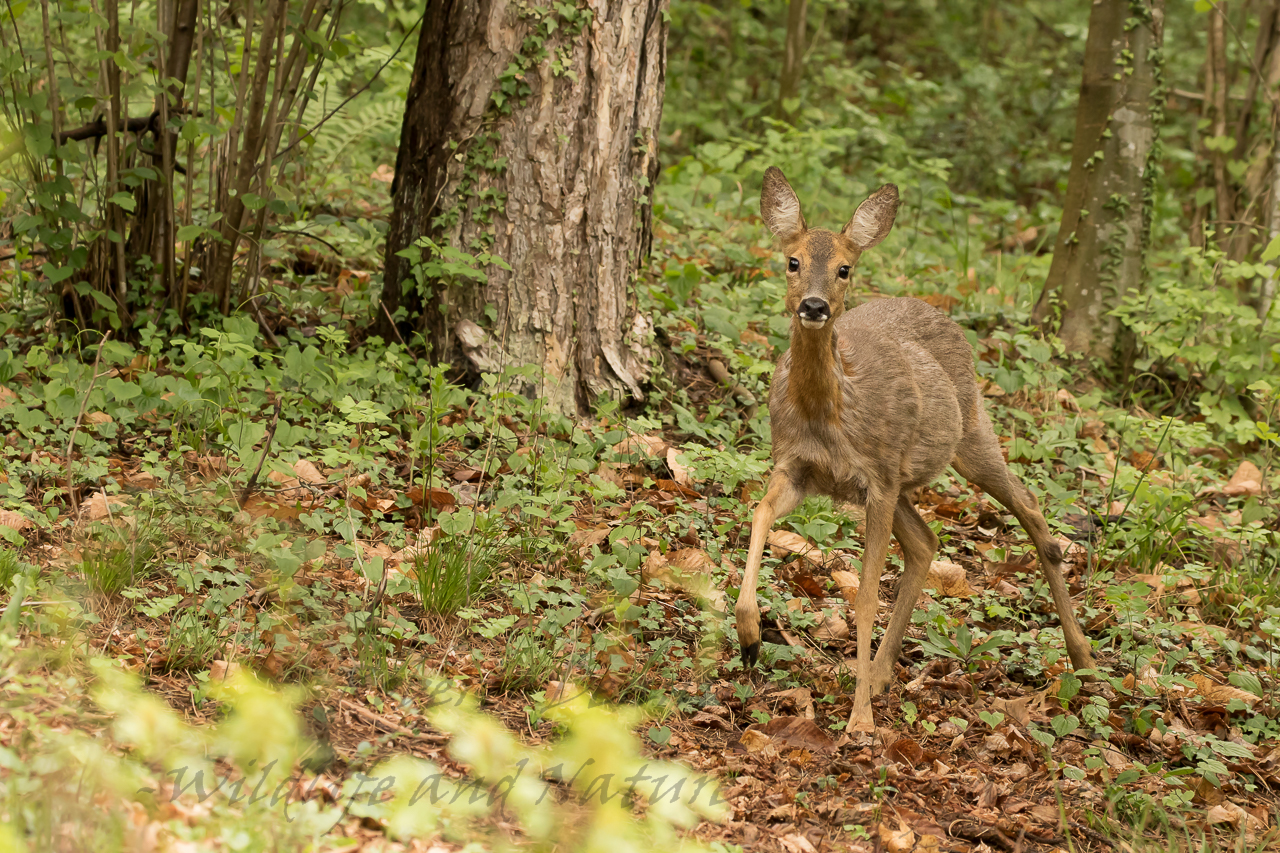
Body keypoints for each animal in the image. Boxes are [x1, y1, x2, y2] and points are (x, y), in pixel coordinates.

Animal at [737, 167, 1095, 732]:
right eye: (792, 261)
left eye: (844, 269)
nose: (813, 306)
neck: (828, 413)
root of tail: (938, 310)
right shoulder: (798, 467)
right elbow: (758, 515)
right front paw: (749, 637)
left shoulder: (877, 479)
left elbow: (864, 596)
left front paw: (860, 721)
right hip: (903, 477)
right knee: (926, 542)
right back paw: (882, 673)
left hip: (967, 433)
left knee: (1031, 507)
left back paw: (1082, 658)